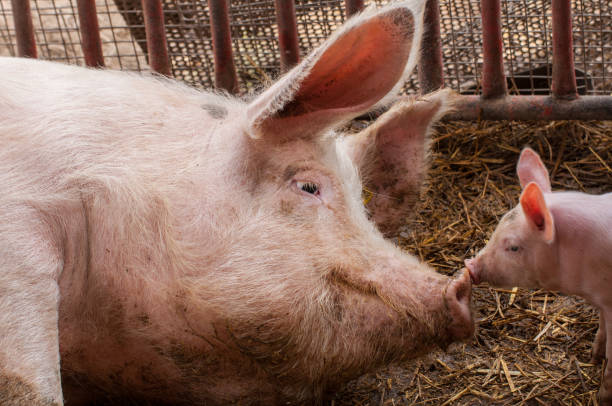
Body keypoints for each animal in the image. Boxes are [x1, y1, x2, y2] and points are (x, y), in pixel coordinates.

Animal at [466, 147, 612, 404]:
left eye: (513, 247)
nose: (469, 265)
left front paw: (602, 398)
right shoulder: (603, 301)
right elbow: (602, 329)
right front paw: (594, 357)